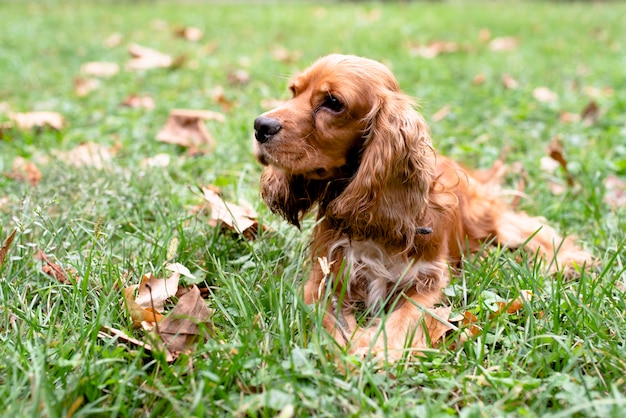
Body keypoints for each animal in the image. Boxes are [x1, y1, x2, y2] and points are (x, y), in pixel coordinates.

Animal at [251, 54, 588, 360]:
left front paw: (381, 349)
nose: (259, 126)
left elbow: (408, 314)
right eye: (294, 91)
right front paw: (352, 348)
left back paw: (570, 260)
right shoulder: (324, 276)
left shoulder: (428, 279)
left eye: (334, 103)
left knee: (532, 228)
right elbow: (331, 320)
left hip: (492, 220)